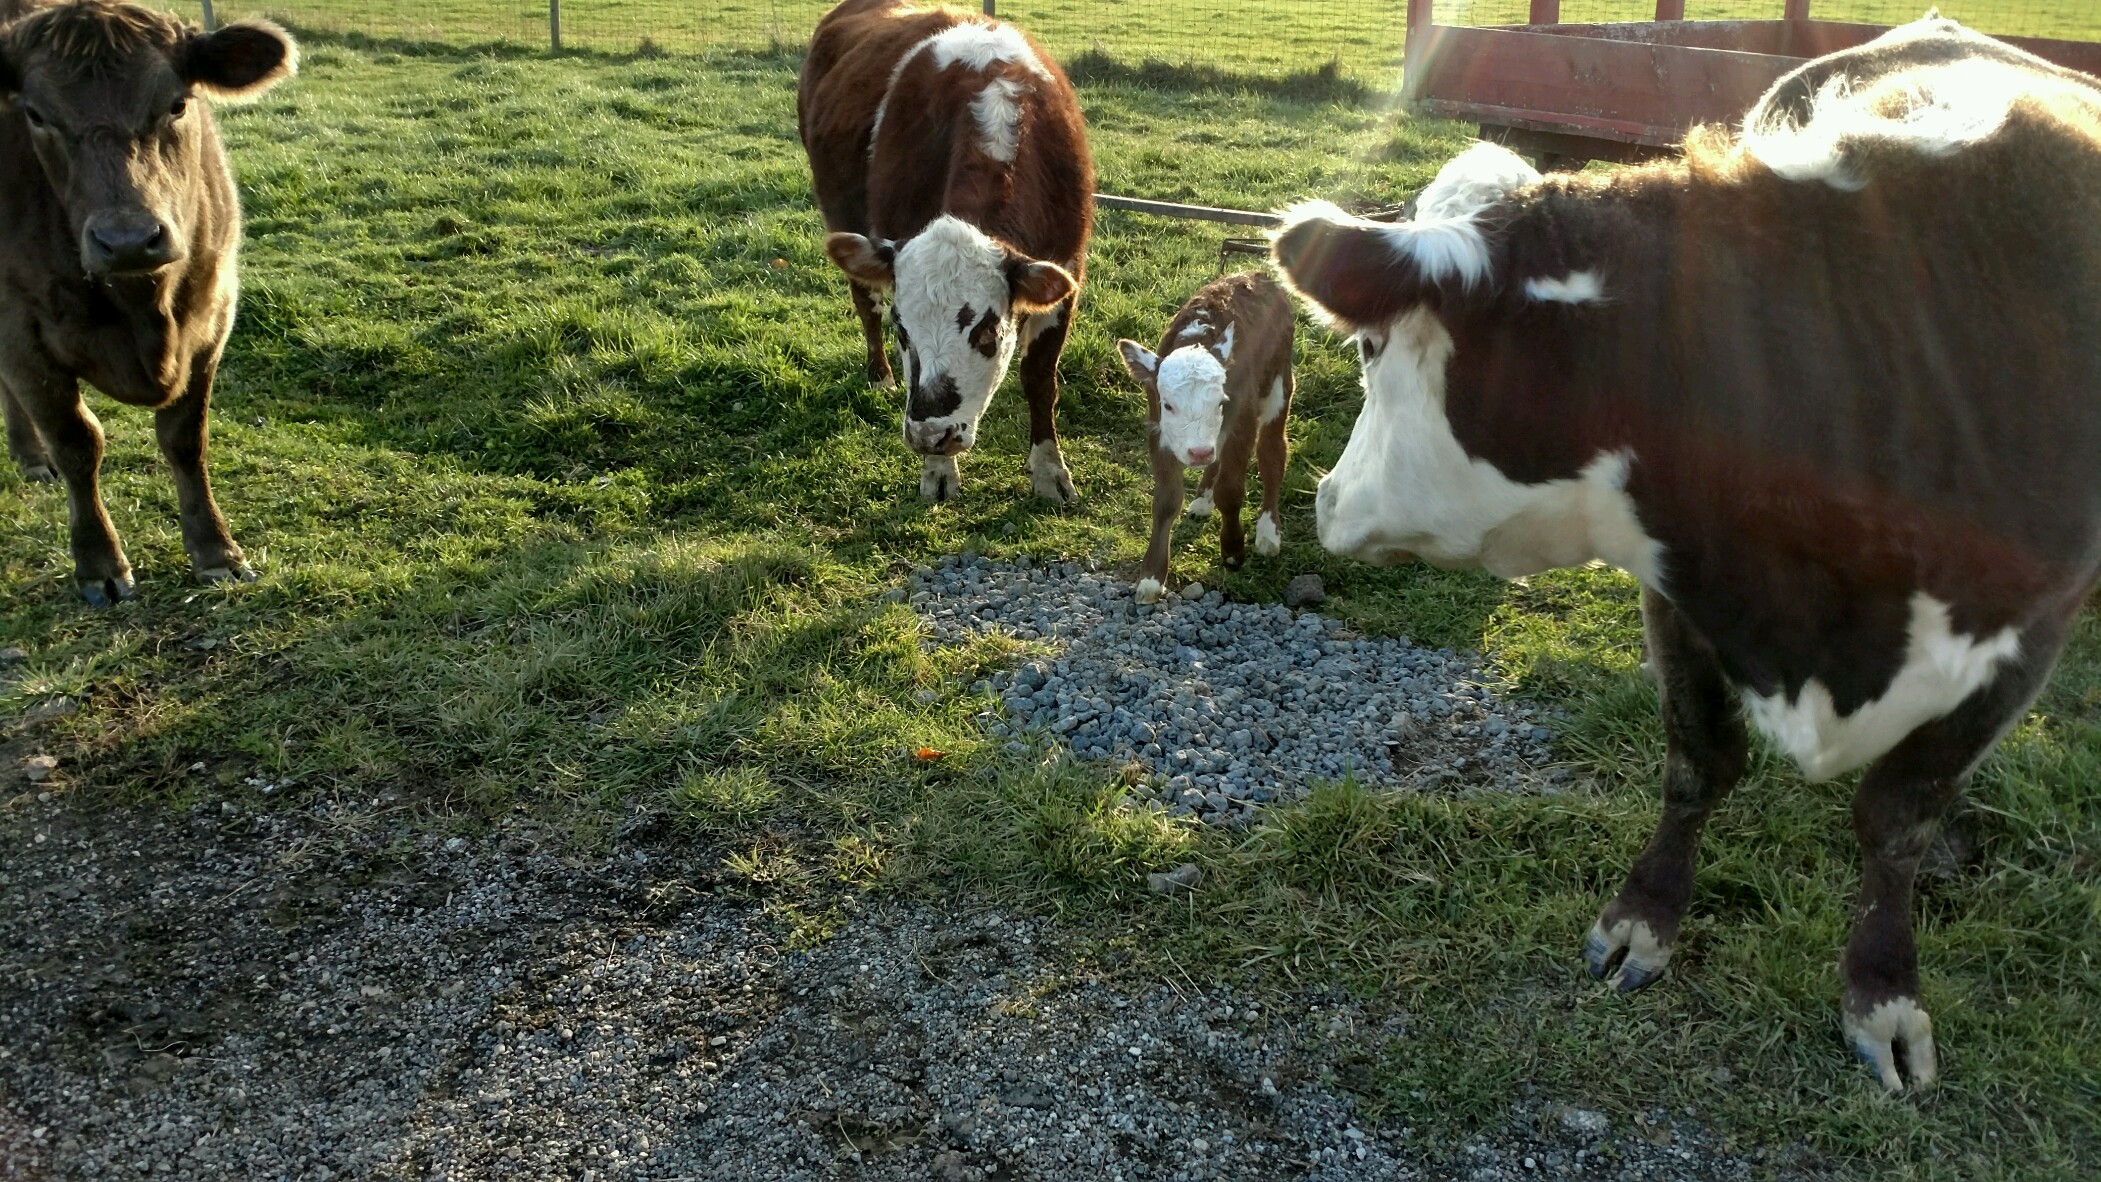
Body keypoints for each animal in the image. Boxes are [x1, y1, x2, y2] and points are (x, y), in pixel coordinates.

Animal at [0, 0, 294, 605]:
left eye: (178, 104)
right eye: (35, 114)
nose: (129, 239)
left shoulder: (212, 315)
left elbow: (186, 439)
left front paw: (216, 551)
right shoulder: (19, 330)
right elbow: (76, 442)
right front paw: (99, 563)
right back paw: (31, 455)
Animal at [799, 0, 1091, 504]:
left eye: (988, 332)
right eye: (903, 329)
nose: (929, 435)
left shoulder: (1067, 269)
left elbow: (1040, 379)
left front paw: (1049, 470)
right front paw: (938, 471)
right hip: (840, 216)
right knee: (864, 301)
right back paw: (879, 376)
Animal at [1116, 271, 1295, 603]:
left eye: (1220, 403)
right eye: (1168, 405)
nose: (1198, 452)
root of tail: (1255, 273)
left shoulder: (1241, 420)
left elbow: (1231, 490)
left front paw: (1233, 549)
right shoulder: (1159, 429)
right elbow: (1166, 500)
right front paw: (1151, 577)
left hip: (1278, 382)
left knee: (1272, 454)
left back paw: (1268, 532)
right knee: (1220, 453)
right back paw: (1202, 499)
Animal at [1270, 16, 2101, 1090]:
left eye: (1369, 349)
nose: (1325, 497)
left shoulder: (2025, 641)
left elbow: (1898, 817)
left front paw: (1882, 995)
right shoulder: (1676, 583)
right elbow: (1698, 757)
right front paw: (1642, 921)